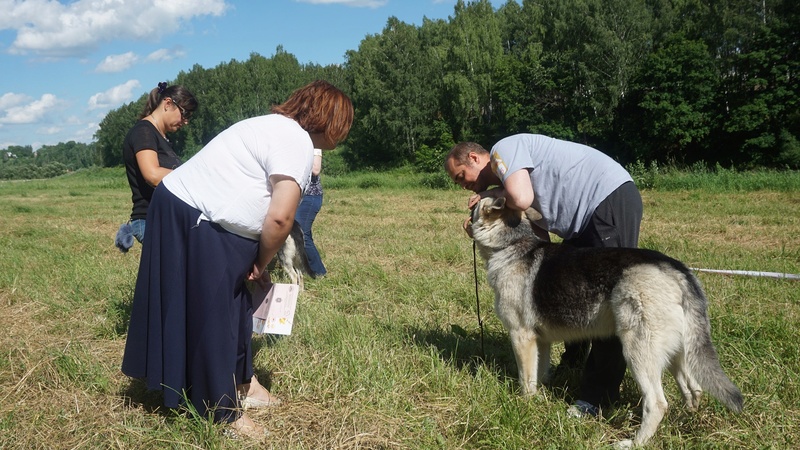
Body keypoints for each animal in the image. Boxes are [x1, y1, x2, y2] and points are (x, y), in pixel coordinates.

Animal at [468, 197, 744, 446]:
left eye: (474, 207)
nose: (468, 208)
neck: (511, 244)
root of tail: (677, 269)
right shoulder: (541, 342)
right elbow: (540, 374)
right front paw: (541, 398)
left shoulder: (521, 336)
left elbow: (526, 381)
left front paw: (524, 406)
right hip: (678, 354)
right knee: (693, 389)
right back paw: (685, 422)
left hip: (637, 353)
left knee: (657, 403)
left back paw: (635, 442)